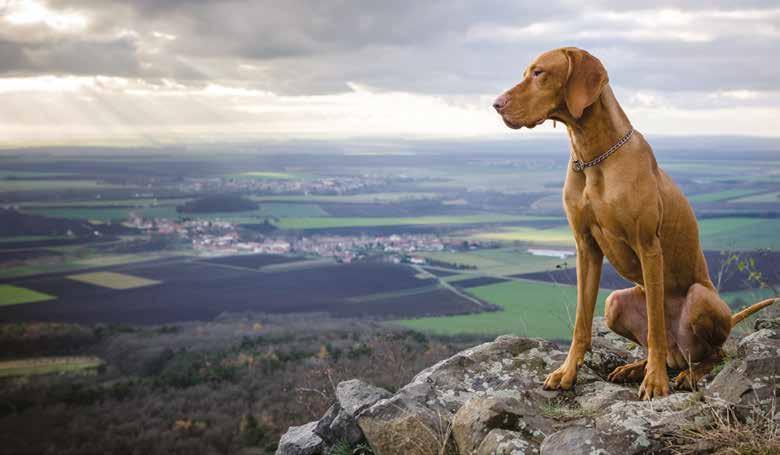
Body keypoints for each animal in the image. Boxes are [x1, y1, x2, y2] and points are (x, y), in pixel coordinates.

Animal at [490, 48, 776, 400]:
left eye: (539, 73)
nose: (496, 104)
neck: (593, 157)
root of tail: (680, 354)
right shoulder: (586, 247)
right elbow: (581, 323)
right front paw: (568, 372)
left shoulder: (648, 247)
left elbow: (655, 327)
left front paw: (655, 382)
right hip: (615, 303)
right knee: (668, 349)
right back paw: (635, 368)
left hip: (700, 298)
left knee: (713, 353)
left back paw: (684, 374)